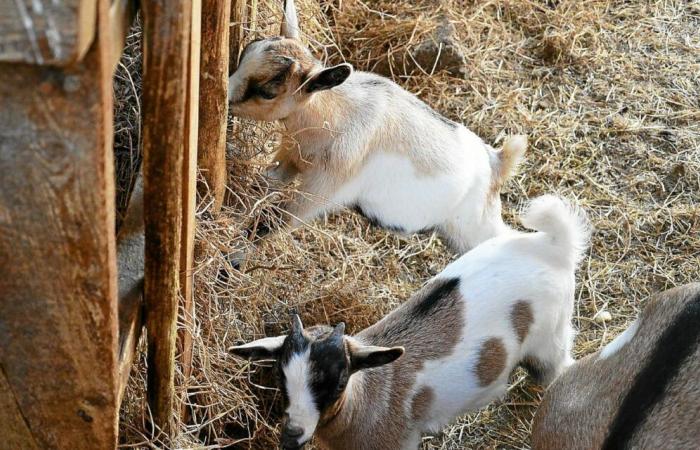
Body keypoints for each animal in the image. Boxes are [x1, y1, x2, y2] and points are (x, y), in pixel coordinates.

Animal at [227, 0, 528, 255]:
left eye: (267, 91)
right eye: (244, 53)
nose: (224, 95)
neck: (335, 114)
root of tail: (496, 162)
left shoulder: (322, 191)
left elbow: (273, 224)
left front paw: (233, 262)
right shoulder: (290, 156)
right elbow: (263, 185)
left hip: (476, 228)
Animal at [231, 194, 592, 450]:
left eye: (340, 378)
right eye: (280, 375)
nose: (291, 435)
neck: (365, 396)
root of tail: (551, 245)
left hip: (550, 340)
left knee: (559, 367)